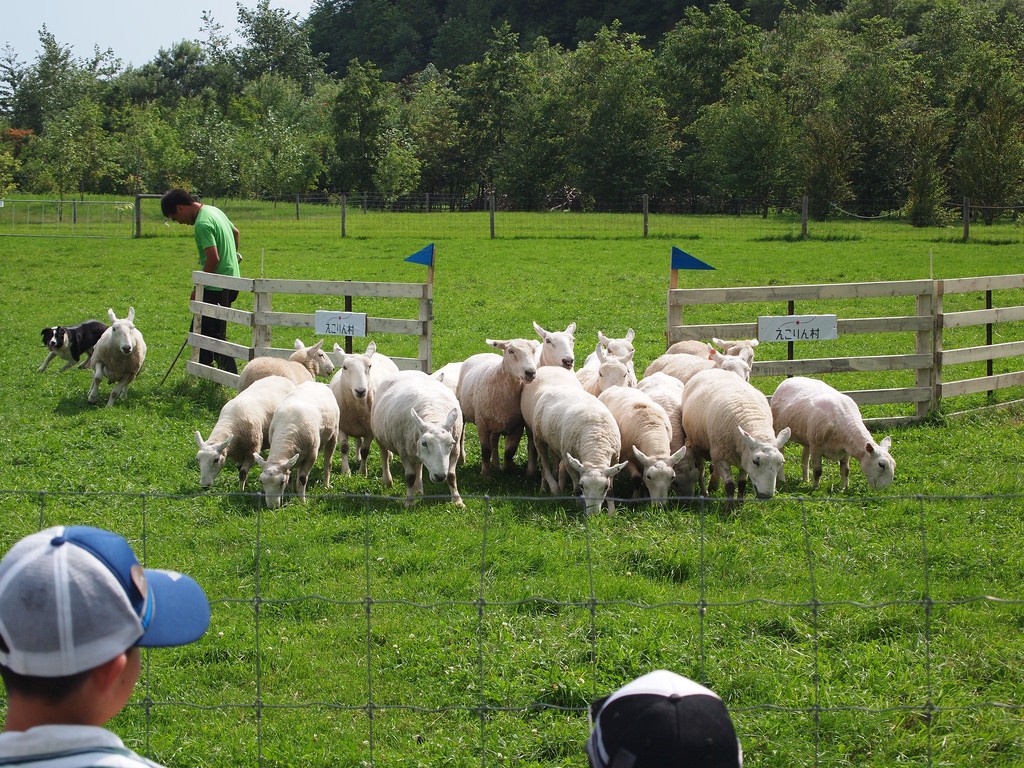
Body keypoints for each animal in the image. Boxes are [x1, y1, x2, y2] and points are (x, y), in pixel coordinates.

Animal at [331, 342, 403, 475]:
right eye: (344, 367)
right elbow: (344, 448)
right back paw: (357, 458)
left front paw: (362, 472)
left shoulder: (370, 431)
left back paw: (389, 457)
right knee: (358, 441)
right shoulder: (341, 427)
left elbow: (365, 450)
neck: (356, 407)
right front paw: (346, 471)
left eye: (369, 366)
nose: (361, 391)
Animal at [370, 370, 466, 507]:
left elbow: (452, 476)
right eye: (424, 443)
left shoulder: (455, 451)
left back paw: (418, 489)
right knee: (384, 455)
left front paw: (458, 501)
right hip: (380, 437)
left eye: (451, 443)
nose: (440, 476)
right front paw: (409, 502)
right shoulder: (403, 452)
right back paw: (387, 481)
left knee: (419, 464)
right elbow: (410, 477)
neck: (433, 416)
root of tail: (407, 371)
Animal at [454, 339, 536, 479]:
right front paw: (485, 474)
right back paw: (461, 459)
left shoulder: (518, 426)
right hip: (463, 409)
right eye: (510, 351)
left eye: (534, 351)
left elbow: (510, 451)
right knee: (462, 434)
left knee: (494, 440)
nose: (530, 372)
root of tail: (482, 353)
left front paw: (507, 471)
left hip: (496, 420)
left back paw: (496, 465)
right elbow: (486, 450)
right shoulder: (481, 423)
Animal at [524, 376, 626, 514]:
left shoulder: (614, 462)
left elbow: (611, 490)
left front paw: (611, 512)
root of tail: (559, 387)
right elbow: (576, 485)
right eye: (583, 486)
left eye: (604, 487)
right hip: (538, 437)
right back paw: (551, 489)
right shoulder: (570, 464)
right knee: (543, 463)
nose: (593, 514)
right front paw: (578, 507)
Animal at [679, 368, 790, 501]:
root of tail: (713, 369)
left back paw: (713, 485)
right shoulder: (723, 458)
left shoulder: (744, 457)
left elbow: (742, 484)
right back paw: (705, 491)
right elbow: (730, 486)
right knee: (701, 470)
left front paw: (740, 503)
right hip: (699, 445)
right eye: (755, 461)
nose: (766, 496)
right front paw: (730, 506)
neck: (755, 424)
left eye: (781, 462)